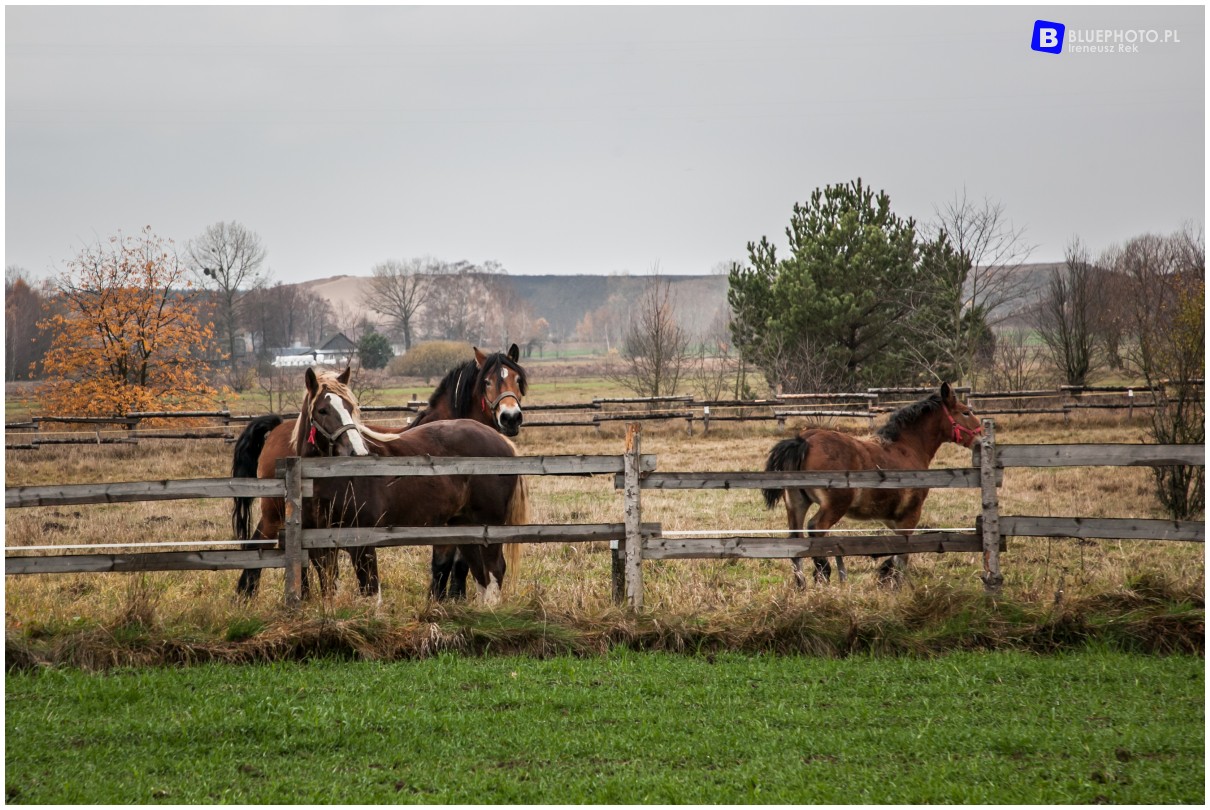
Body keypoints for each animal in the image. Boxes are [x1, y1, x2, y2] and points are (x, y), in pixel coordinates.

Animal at [231, 348, 525, 600]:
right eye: (487, 382)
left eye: (518, 380)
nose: (511, 418)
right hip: (274, 513)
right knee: (259, 546)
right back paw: (246, 597)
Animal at [764, 382, 982, 583]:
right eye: (966, 412)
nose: (980, 439)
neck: (907, 448)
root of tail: (805, 440)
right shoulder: (910, 517)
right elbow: (902, 555)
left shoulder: (893, 520)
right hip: (834, 506)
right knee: (815, 530)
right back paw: (823, 574)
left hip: (797, 504)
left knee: (795, 542)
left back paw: (802, 585)